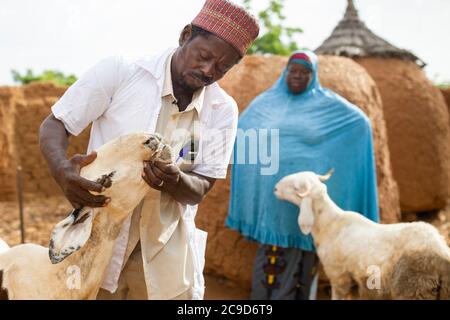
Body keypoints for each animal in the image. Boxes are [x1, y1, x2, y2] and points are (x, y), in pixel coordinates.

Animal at [274, 171, 450, 298]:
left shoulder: (339, 276)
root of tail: (440, 250)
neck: (329, 223)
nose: (275, 188)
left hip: (414, 284)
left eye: (295, 187)